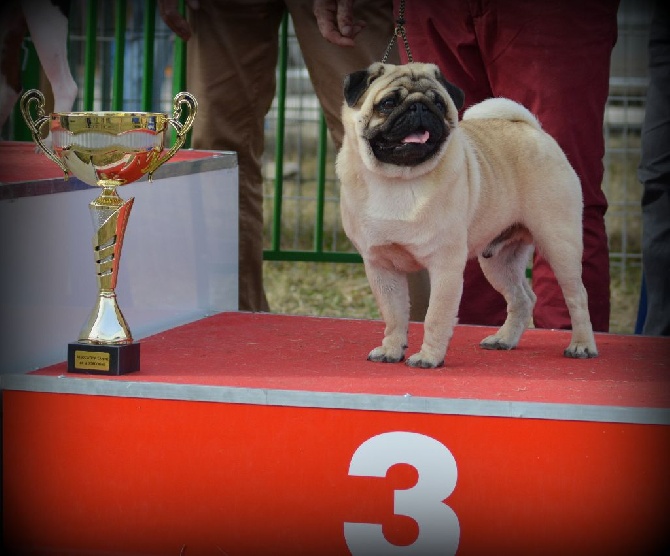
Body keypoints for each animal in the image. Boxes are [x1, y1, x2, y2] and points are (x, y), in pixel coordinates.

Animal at [338, 62, 600, 370]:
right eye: (388, 103)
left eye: (439, 103)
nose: (419, 107)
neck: (397, 180)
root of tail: (531, 128)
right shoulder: (381, 267)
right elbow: (394, 315)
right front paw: (391, 349)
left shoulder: (445, 266)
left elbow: (436, 316)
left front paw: (429, 357)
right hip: (499, 261)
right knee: (522, 298)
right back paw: (504, 339)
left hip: (559, 244)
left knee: (577, 296)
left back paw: (581, 345)